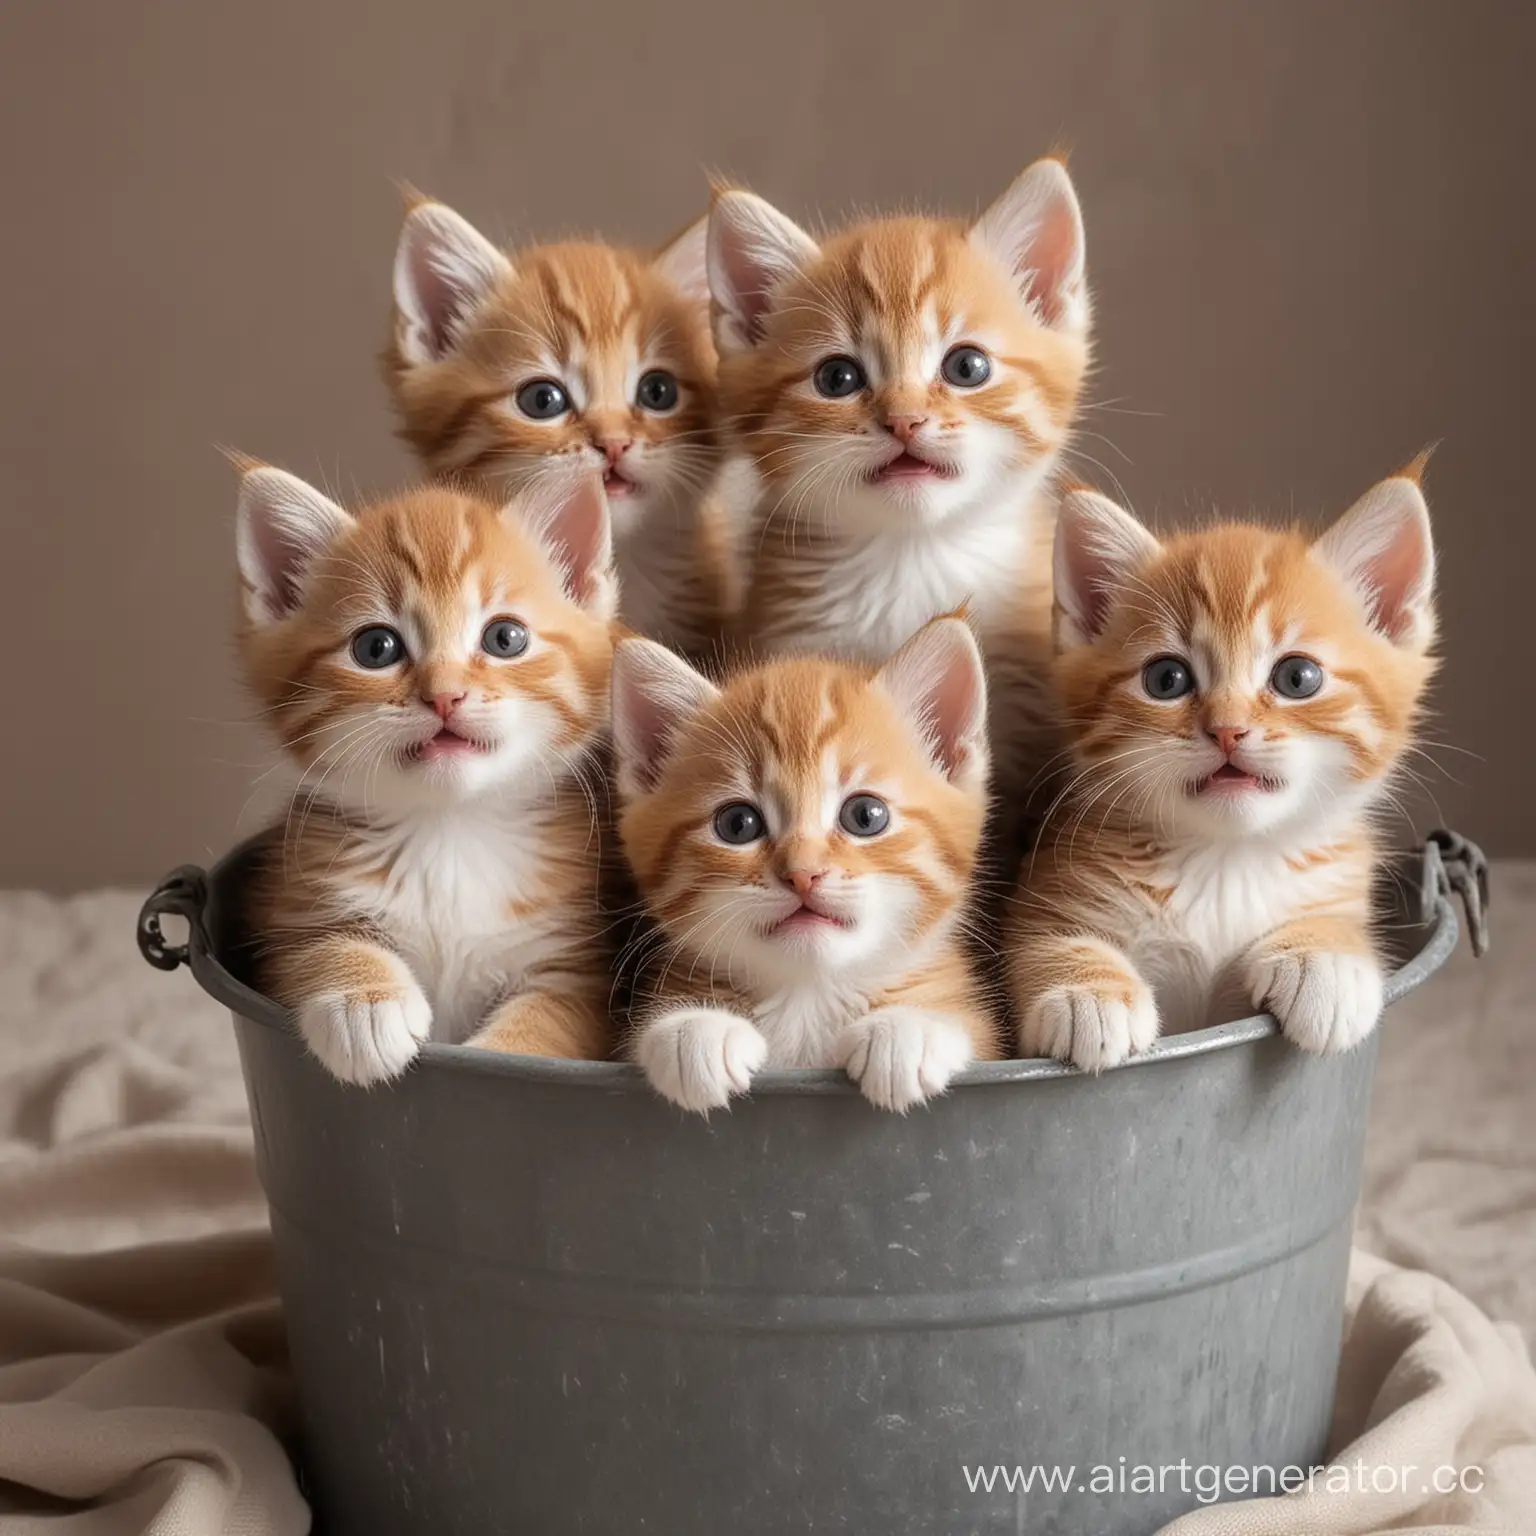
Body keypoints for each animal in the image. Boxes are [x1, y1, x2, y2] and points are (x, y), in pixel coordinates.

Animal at [235, 460, 617, 1087]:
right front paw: (365, 1003)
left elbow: (545, 1029)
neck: (450, 832)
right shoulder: (285, 908)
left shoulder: (578, 967)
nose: (445, 695)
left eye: (505, 638)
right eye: (376, 647)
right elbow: (313, 945)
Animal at [605, 614, 1001, 1118]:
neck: (808, 998)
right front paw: (694, 1031)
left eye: (865, 816)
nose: (802, 873)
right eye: (737, 824)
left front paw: (906, 1031)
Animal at [1007, 466, 1437, 1069]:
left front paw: (1325, 959)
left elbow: (1336, 920)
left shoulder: (1341, 881)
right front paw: (1084, 991)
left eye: (1298, 677)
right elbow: (1044, 940)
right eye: (1166, 679)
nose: (1228, 729)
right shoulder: (1051, 886)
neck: (1226, 859)